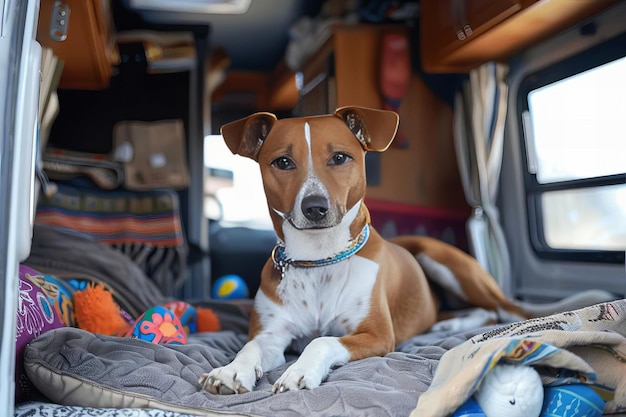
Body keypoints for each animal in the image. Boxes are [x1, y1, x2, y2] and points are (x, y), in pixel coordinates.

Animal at [196, 105, 532, 394]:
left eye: (339, 157)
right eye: (282, 162)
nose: (315, 207)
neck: (319, 260)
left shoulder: (377, 335)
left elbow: (322, 341)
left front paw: (299, 371)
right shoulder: (272, 335)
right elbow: (251, 345)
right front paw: (230, 371)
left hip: (443, 261)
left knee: (498, 310)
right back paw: (445, 322)